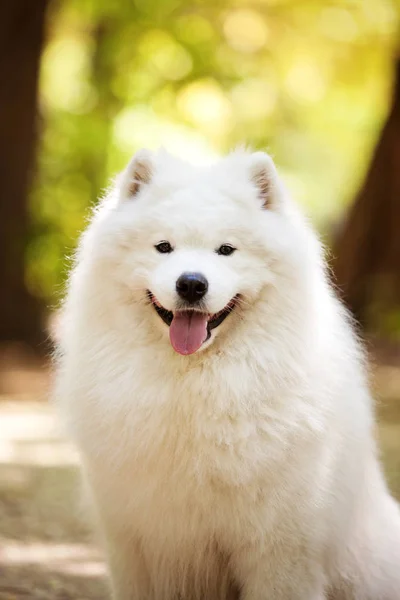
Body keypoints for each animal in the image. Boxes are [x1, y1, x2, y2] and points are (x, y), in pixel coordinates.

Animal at [55, 146, 400, 600]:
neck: (194, 387)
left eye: (226, 250)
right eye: (163, 247)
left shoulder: (279, 548)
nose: (191, 283)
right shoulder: (135, 543)